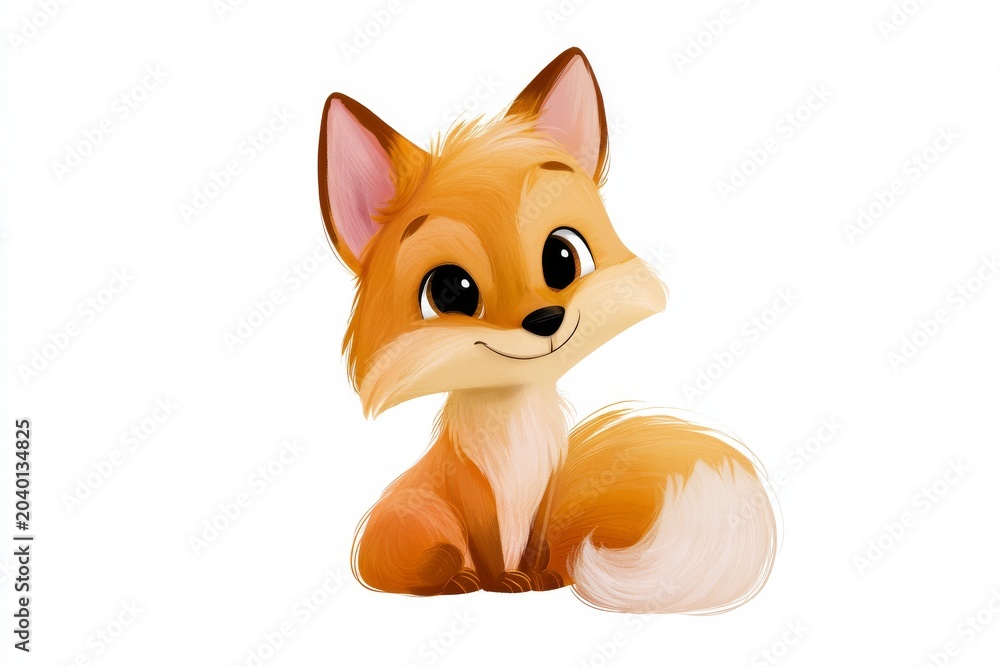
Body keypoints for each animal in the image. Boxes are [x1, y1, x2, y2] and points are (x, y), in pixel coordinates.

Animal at [318, 47, 777, 613]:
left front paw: (541, 578)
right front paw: (500, 583)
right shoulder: (472, 494)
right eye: (450, 291)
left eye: (562, 257)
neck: (517, 430)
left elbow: (536, 545)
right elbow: (489, 550)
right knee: (430, 570)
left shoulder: (547, 488)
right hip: (424, 531)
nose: (544, 320)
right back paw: (460, 581)